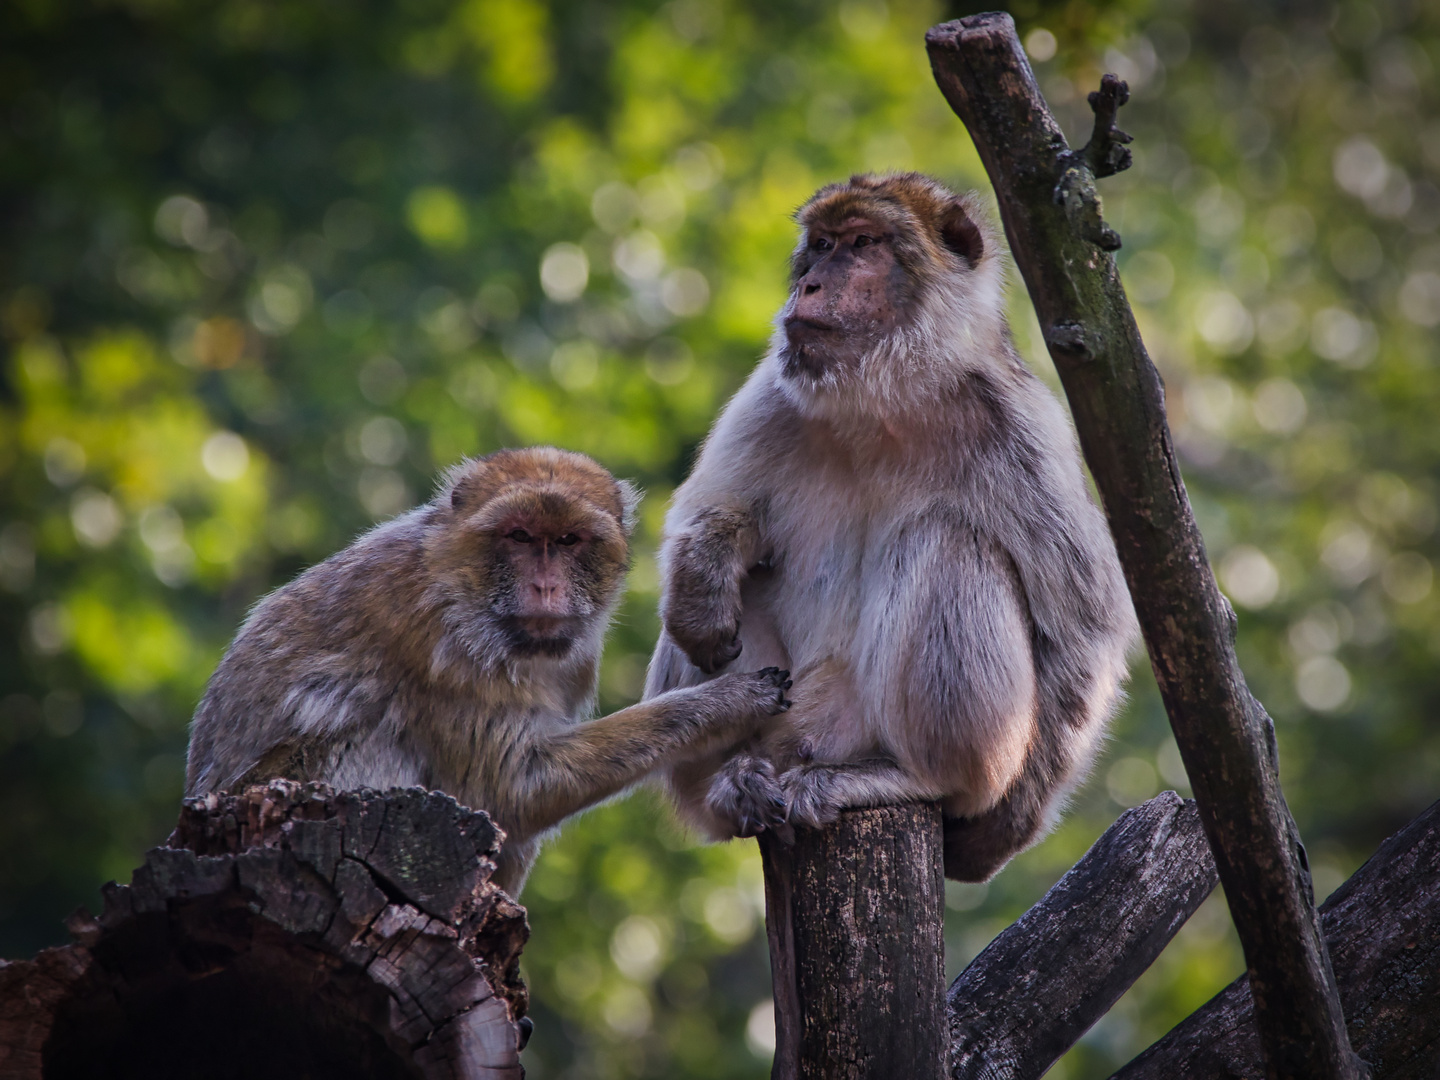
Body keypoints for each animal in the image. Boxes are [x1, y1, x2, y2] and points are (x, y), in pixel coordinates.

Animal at [185, 449, 794, 898]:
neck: (464, 585)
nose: (545, 587)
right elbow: (511, 788)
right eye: (520, 536)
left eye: (568, 541)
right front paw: (728, 701)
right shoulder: (440, 644)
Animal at [645, 173, 1134, 881]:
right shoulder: (772, 390)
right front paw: (703, 587)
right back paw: (727, 781)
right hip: (783, 711)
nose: (809, 285)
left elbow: (1080, 633)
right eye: (820, 246)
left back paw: (915, 778)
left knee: (946, 540)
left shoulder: (1019, 428)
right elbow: (715, 510)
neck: (885, 397)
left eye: (863, 244)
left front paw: (995, 836)